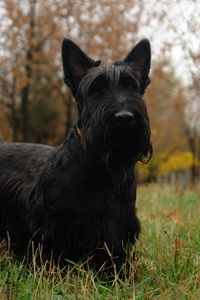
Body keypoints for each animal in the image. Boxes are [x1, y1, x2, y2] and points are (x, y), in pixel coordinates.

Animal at [0, 38, 152, 274]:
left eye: (131, 86)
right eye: (95, 89)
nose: (124, 118)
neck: (103, 166)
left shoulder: (119, 224)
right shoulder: (52, 224)